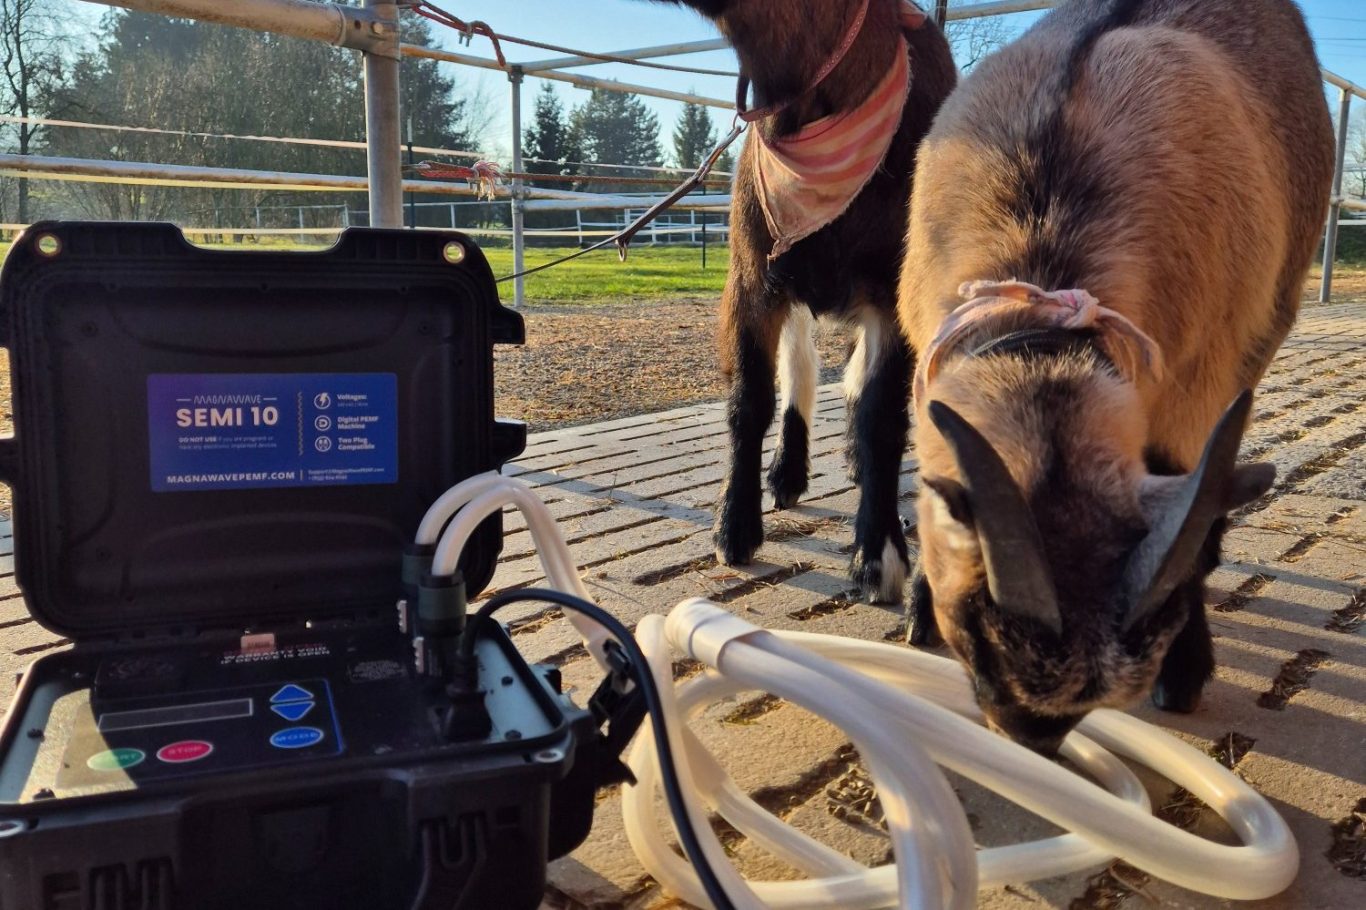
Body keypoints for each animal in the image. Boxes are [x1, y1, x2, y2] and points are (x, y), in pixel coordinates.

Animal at [652, 0, 956, 602]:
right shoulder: (752, 281)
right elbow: (750, 401)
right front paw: (734, 527)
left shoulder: (893, 297)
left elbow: (881, 415)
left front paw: (877, 553)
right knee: (801, 364)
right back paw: (787, 471)